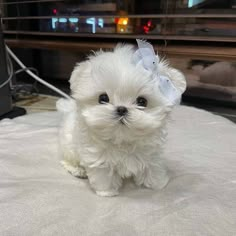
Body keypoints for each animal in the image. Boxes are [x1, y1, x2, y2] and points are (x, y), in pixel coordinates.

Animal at [57, 39, 186, 196]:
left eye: (142, 101)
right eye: (103, 98)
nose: (121, 109)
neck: (123, 140)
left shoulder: (152, 155)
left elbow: (153, 168)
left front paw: (157, 184)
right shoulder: (100, 160)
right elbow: (104, 176)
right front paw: (107, 192)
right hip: (70, 147)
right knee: (67, 160)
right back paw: (78, 170)